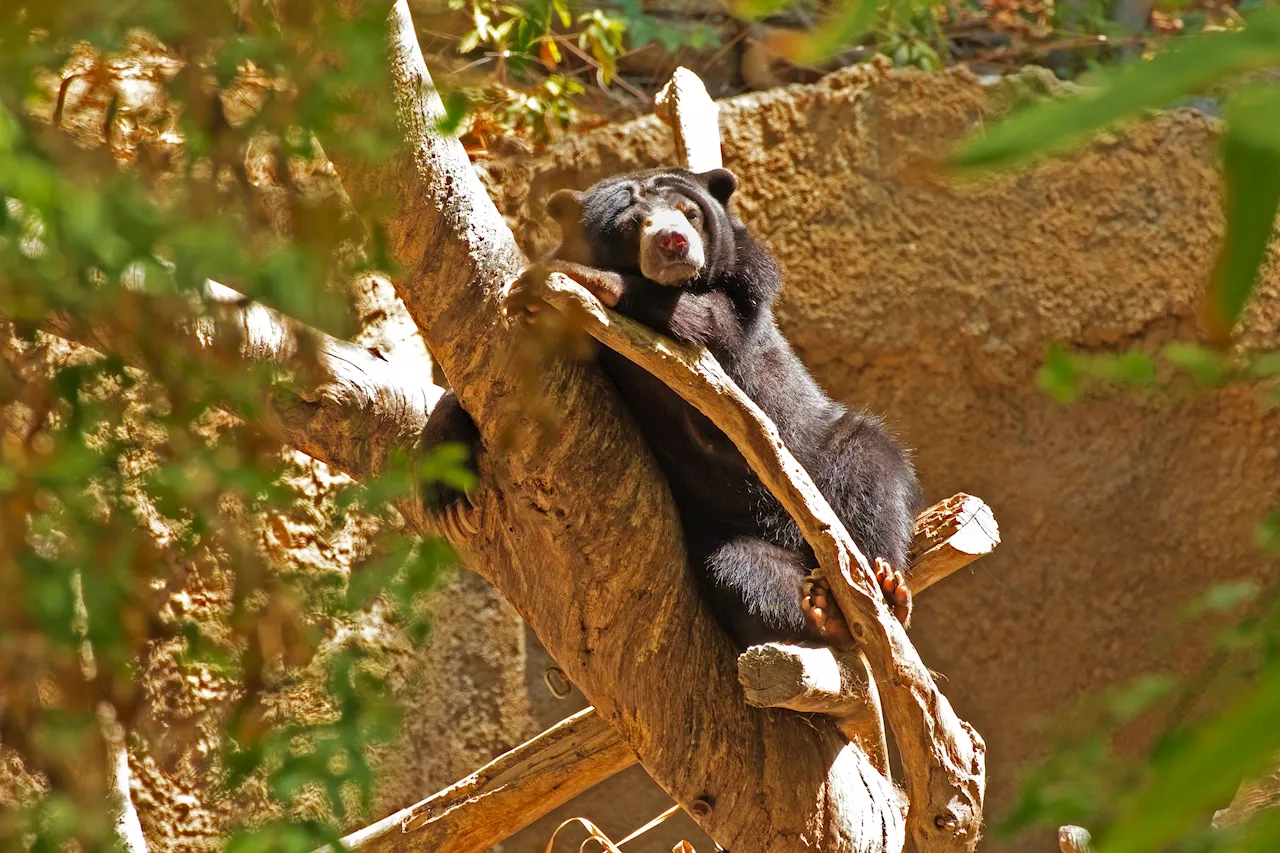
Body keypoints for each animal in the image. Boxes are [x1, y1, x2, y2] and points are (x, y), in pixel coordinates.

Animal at [427, 166, 921, 645]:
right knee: (737, 570)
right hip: (716, 527)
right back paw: (823, 611)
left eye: (690, 213)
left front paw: (584, 280)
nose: (674, 242)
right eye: (632, 225)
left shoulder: (743, 310)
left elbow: (711, 331)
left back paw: (884, 586)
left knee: (869, 471)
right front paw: (448, 500)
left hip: (821, 456)